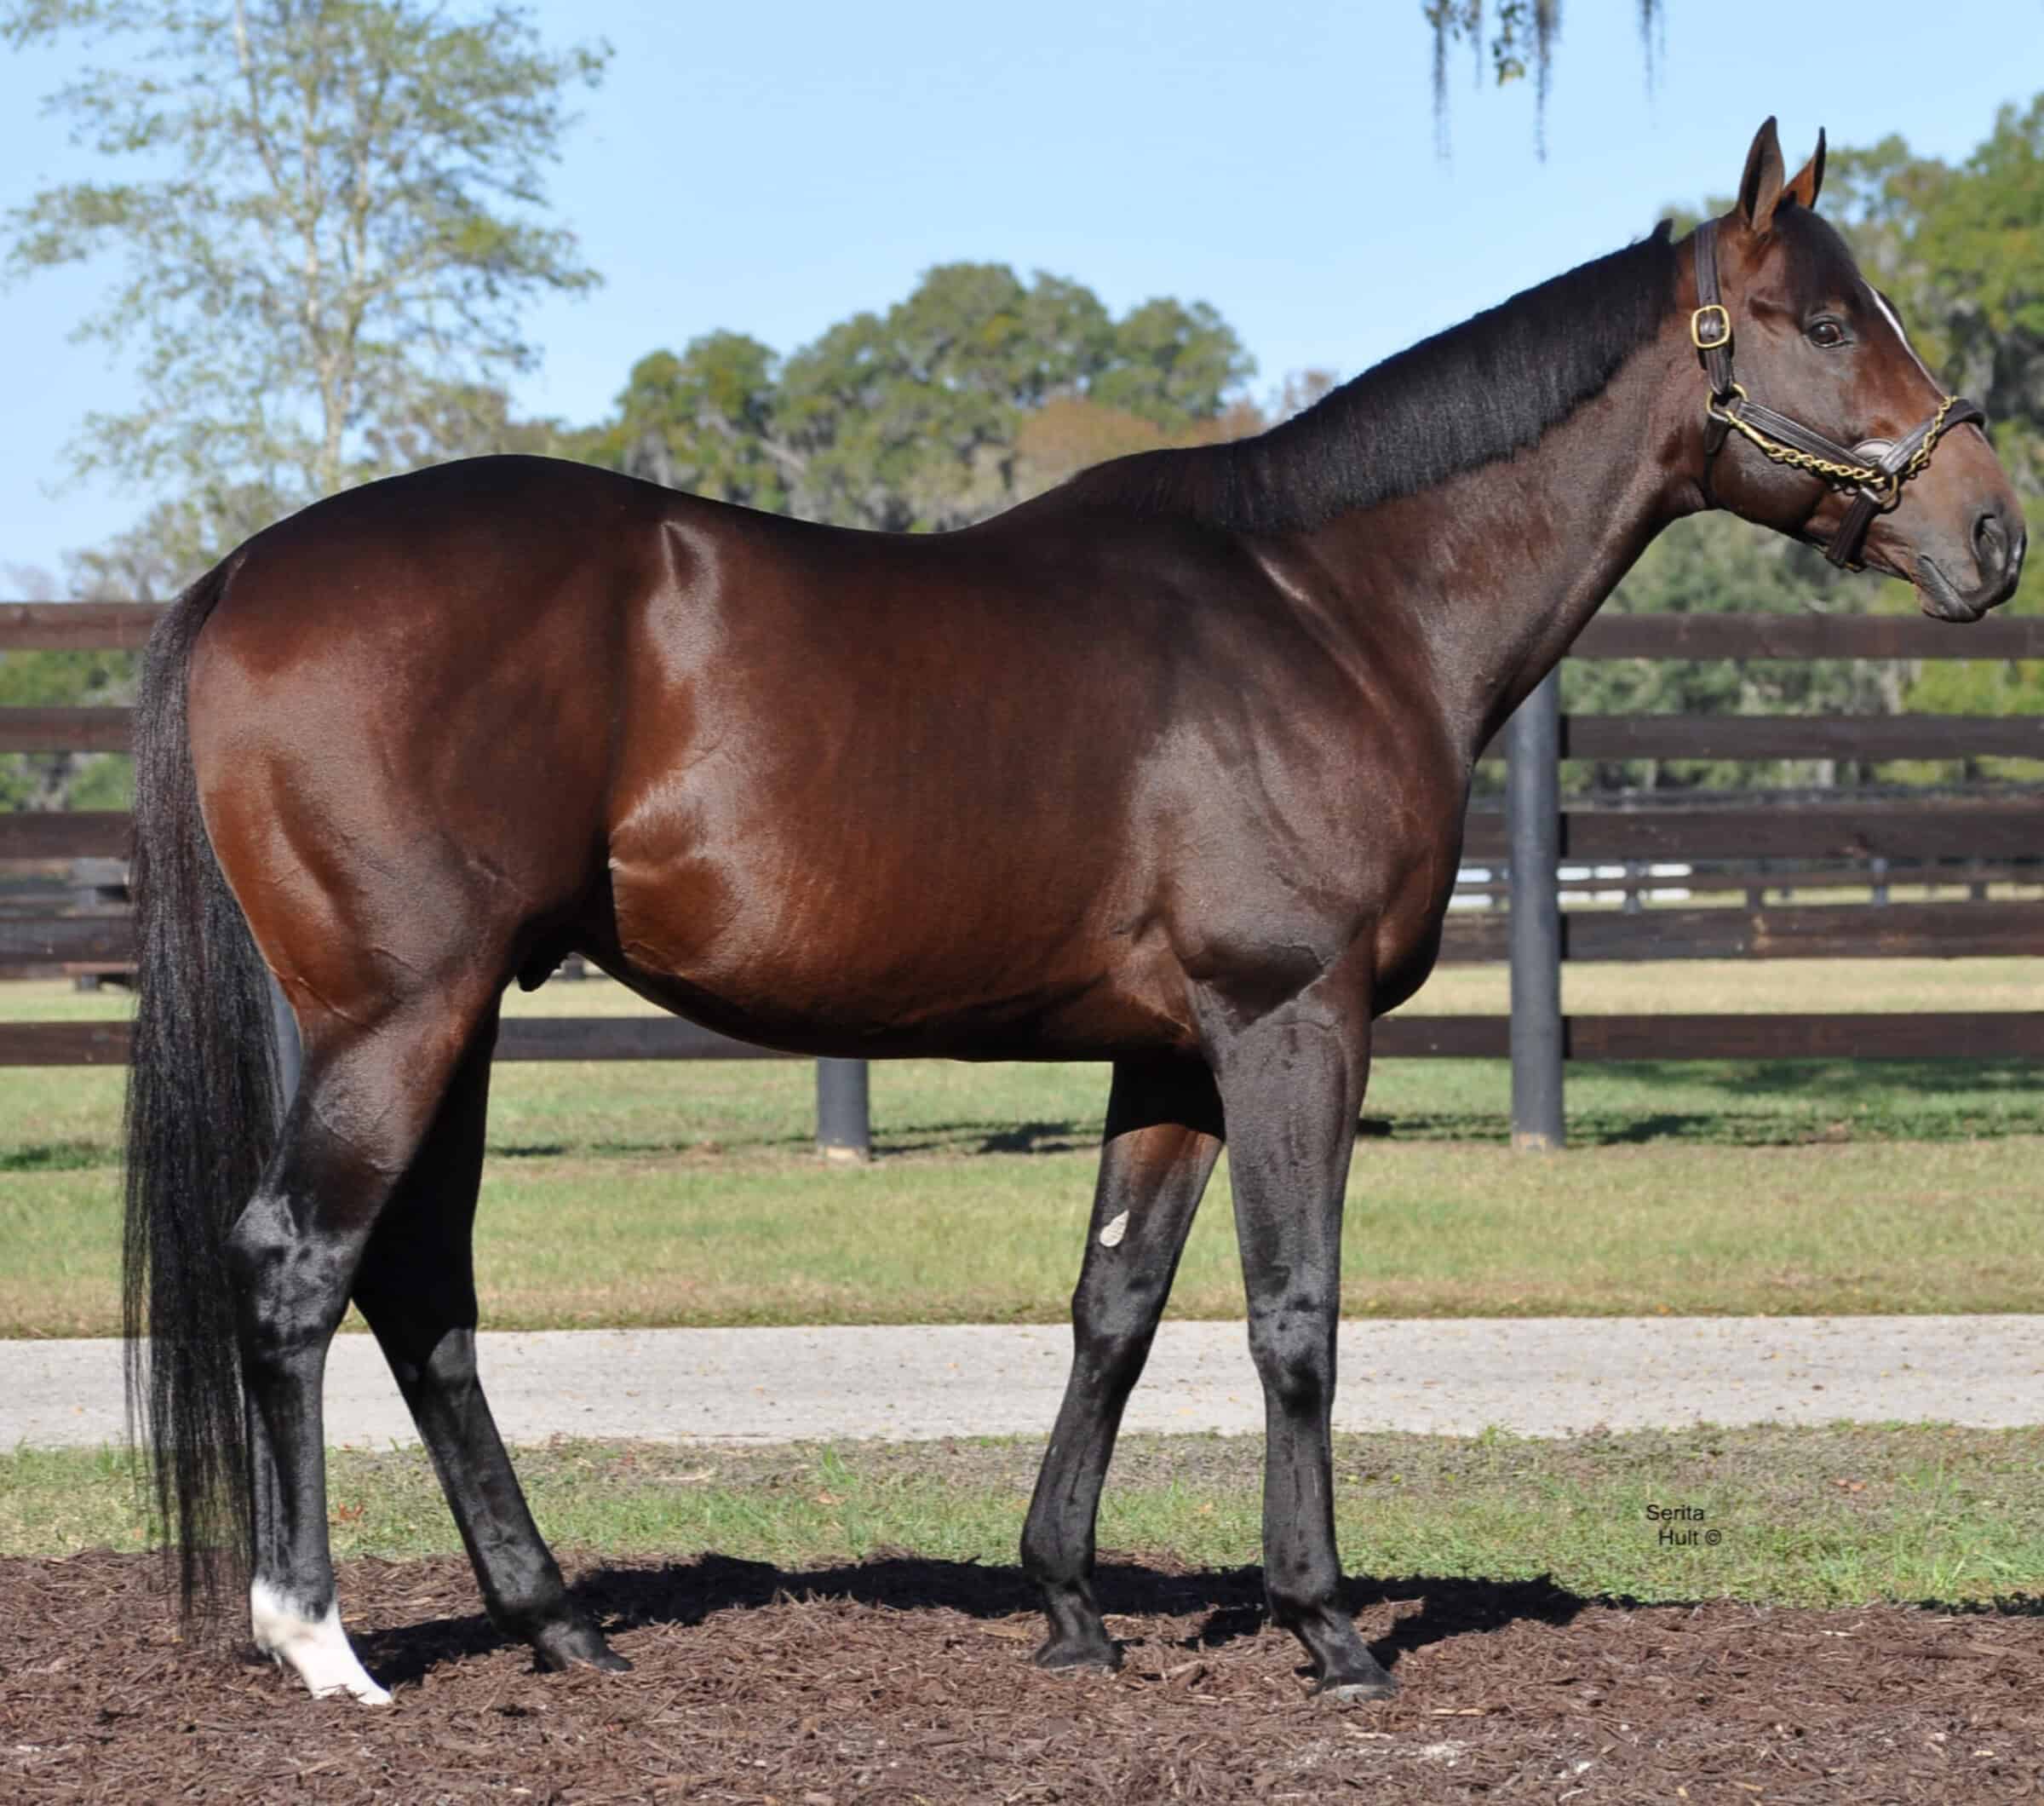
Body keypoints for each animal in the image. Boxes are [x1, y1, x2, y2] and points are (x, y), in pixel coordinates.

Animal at [122, 118, 2023, 1706]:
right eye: (1821, 321)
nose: (1993, 534)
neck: (1331, 607)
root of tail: (243, 575)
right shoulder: (1291, 1024)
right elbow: (1295, 1313)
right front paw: (1329, 1626)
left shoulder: (1171, 1057)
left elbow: (1115, 1308)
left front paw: (1070, 1606)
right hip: (404, 1013)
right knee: (298, 1264)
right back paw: (323, 1644)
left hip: (447, 1017)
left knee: (420, 1289)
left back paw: (560, 1625)